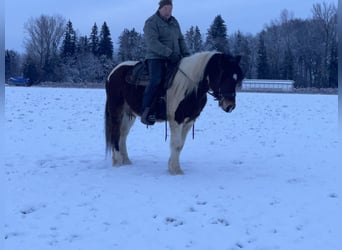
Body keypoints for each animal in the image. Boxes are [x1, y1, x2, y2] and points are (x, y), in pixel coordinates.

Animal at [104, 51, 243, 175]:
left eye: (236, 79)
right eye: (223, 76)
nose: (230, 106)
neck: (189, 87)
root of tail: (113, 72)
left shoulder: (189, 121)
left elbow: (180, 145)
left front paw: (172, 167)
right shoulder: (176, 120)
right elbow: (176, 144)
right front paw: (175, 170)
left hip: (129, 114)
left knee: (123, 135)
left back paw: (126, 161)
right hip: (116, 110)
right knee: (115, 133)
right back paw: (117, 162)